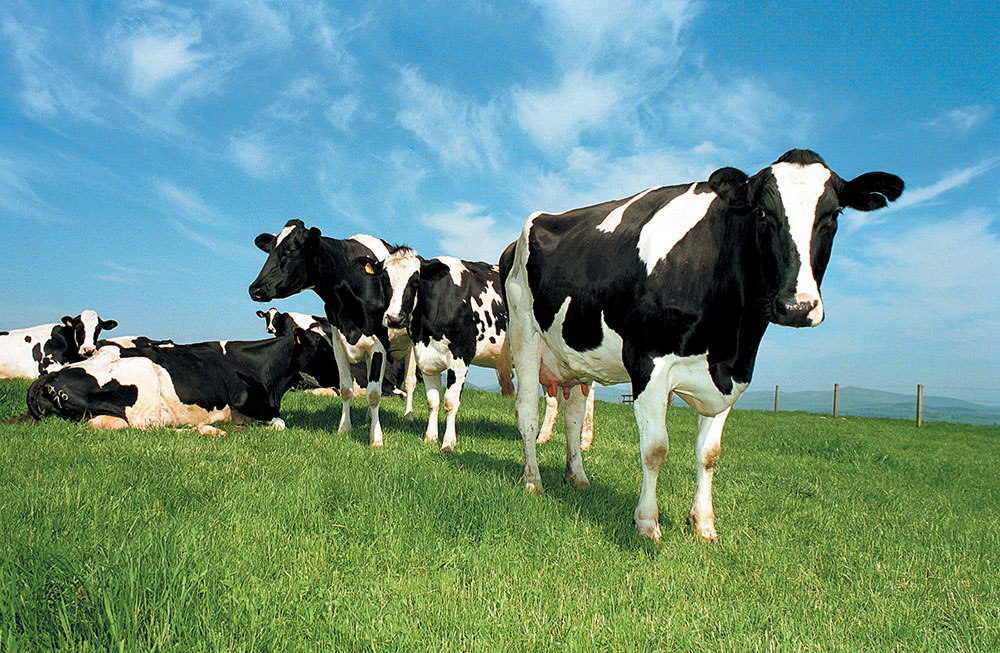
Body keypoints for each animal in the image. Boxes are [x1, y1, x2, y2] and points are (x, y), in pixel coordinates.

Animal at [27, 328, 324, 436]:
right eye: (323, 344)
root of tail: (50, 378)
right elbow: (280, 424)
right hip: (144, 383)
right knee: (153, 428)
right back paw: (210, 429)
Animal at [250, 222, 418, 446]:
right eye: (269, 250)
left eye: (290, 250)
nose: (255, 289)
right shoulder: (338, 342)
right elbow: (346, 388)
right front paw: (344, 428)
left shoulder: (378, 345)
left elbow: (374, 393)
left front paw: (376, 438)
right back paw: (368, 415)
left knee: (410, 382)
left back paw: (408, 416)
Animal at [378, 247, 512, 450]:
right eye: (385, 279)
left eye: (415, 281)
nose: (394, 319)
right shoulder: (425, 357)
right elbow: (432, 401)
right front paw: (430, 437)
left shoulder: (461, 357)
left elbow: (450, 402)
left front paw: (448, 442)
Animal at [504, 149, 904, 540]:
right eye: (763, 213)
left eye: (833, 215)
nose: (797, 307)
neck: (731, 340)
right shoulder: (648, 362)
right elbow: (655, 449)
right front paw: (648, 523)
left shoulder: (730, 375)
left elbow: (709, 452)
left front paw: (704, 523)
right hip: (525, 335)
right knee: (527, 412)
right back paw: (533, 480)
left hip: (576, 359)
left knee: (573, 415)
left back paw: (578, 478)